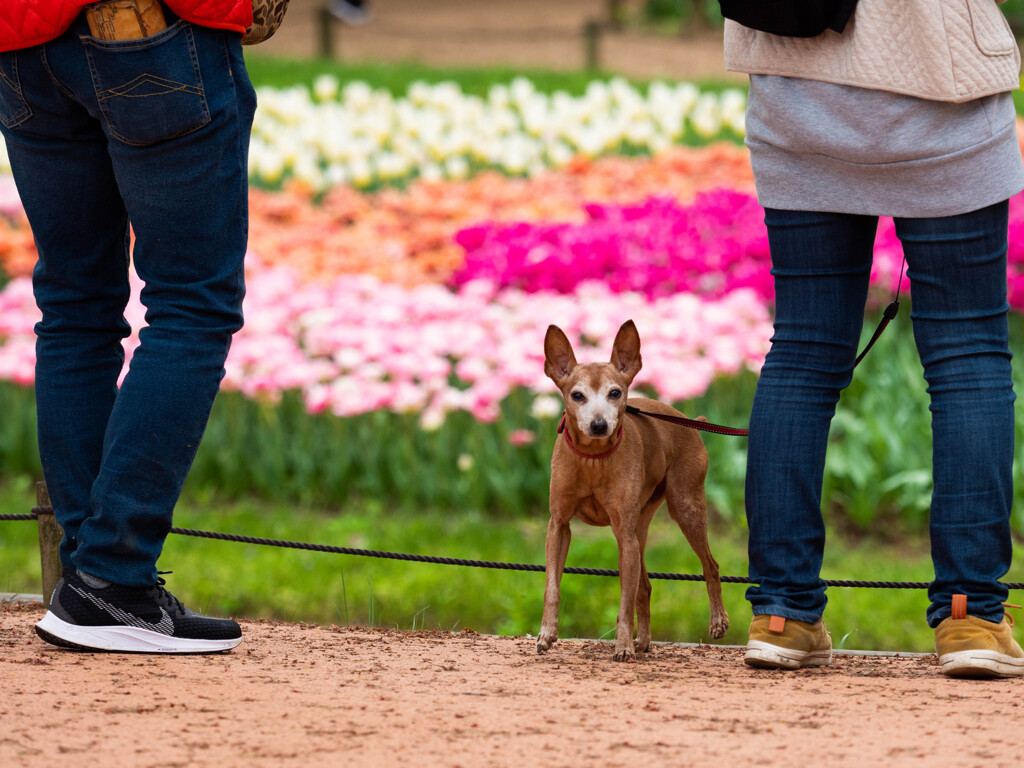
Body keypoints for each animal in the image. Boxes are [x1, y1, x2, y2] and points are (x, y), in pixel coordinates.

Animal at [536, 319, 729, 663]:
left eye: (615, 393)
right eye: (577, 395)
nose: (599, 425)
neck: (593, 461)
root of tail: (689, 421)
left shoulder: (623, 535)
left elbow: (624, 602)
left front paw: (623, 645)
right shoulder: (558, 526)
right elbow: (552, 587)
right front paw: (547, 634)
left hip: (684, 509)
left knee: (710, 566)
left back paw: (717, 621)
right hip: (640, 529)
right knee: (646, 587)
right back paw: (644, 641)